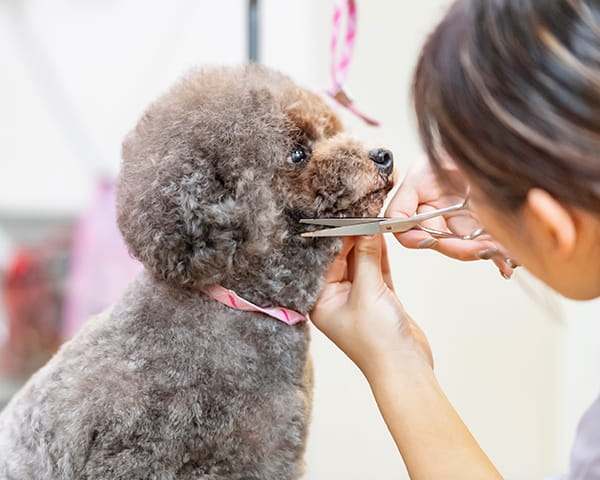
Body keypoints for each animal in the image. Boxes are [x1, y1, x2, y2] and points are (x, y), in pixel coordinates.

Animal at [0, 64, 394, 480]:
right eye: (298, 153)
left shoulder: (272, 453)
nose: (383, 155)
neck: (241, 306)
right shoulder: (129, 456)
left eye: (331, 131)